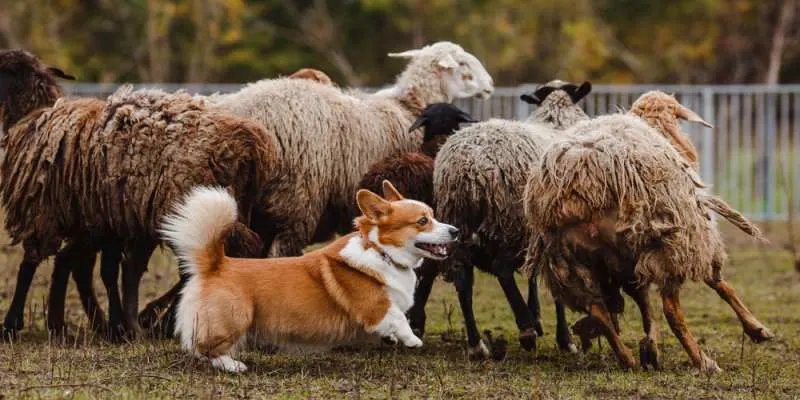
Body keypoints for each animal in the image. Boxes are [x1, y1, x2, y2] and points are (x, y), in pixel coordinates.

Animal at [0, 48, 276, 340]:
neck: (34, 113)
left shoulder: (44, 212)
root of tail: (250, 143)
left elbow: (30, 266)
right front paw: (114, 324)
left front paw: (11, 324)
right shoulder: (106, 223)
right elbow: (106, 269)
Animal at [160, 180, 460, 372]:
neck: (381, 251)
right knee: (205, 349)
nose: (456, 231)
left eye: (433, 215)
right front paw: (412, 340)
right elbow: (397, 316)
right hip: (236, 318)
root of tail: (217, 264)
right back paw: (234, 365)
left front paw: (394, 339)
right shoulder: (375, 306)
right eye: (422, 221)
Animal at [432, 79, 592, 354]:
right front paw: (564, 338)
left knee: (463, 278)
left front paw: (538, 316)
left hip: (458, 220)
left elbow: (533, 276)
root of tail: (467, 167)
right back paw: (525, 328)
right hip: (510, 221)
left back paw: (477, 345)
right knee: (502, 270)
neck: (556, 121)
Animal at [524, 90, 776, 372]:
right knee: (671, 309)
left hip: (571, 262)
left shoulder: (628, 263)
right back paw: (703, 361)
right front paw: (757, 329)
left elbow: (645, 305)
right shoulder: (690, 236)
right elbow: (721, 284)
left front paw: (650, 348)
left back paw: (628, 358)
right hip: (668, 244)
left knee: (598, 309)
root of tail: (573, 187)